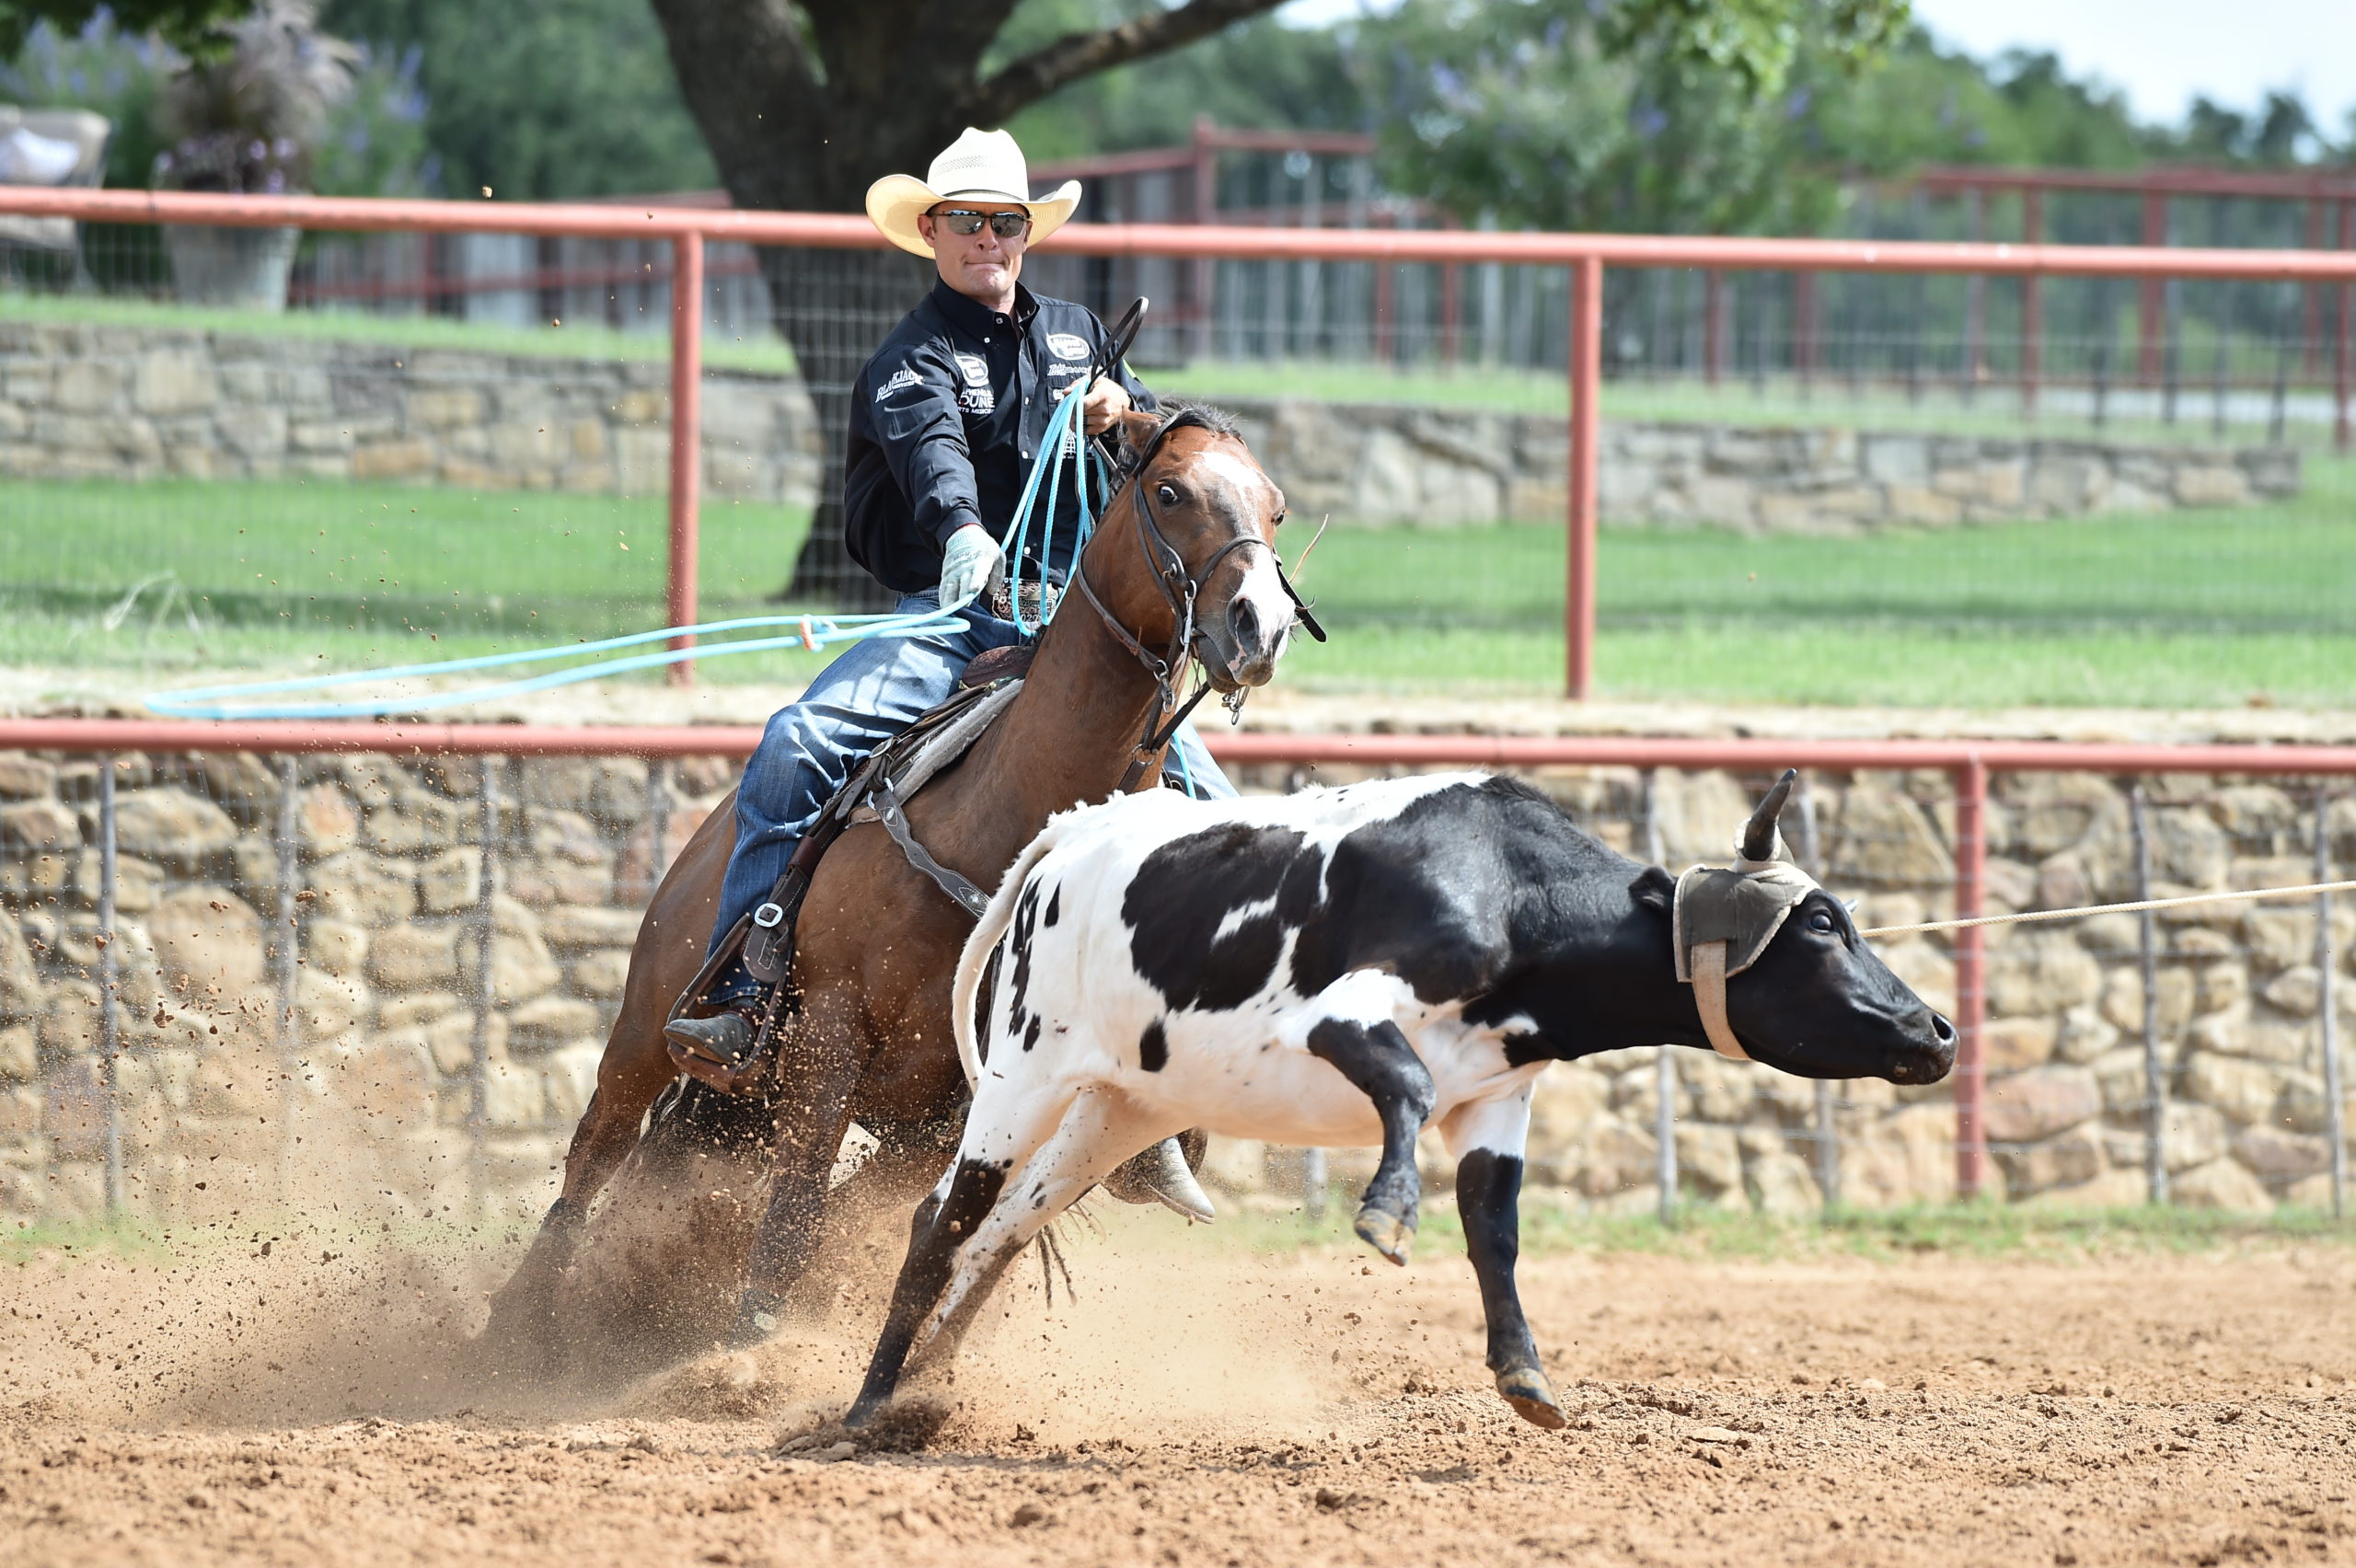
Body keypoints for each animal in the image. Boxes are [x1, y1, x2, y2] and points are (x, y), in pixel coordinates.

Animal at [471, 405, 1300, 1365]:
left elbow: (855, 1221)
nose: (1259, 627)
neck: (1008, 819)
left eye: (1276, 509)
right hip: (652, 1030)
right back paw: (521, 1323)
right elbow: (795, 1217)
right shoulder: (831, 1037)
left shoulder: (960, 1113)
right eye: (1169, 492)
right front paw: (744, 1359)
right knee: (595, 1154)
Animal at [848, 767, 1950, 1431]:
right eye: (1822, 924)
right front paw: (1384, 1213)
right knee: (942, 1225)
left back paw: (921, 1395)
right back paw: (863, 1412)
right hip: (1022, 1076)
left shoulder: (1501, 1099)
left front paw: (1526, 1377)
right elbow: (1408, 1088)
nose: (1936, 1030)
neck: (1513, 893)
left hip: (1121, 1109)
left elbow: (1495, 1230)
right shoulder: (1343, 1016)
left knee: (999, 1237)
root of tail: (1076, 831)